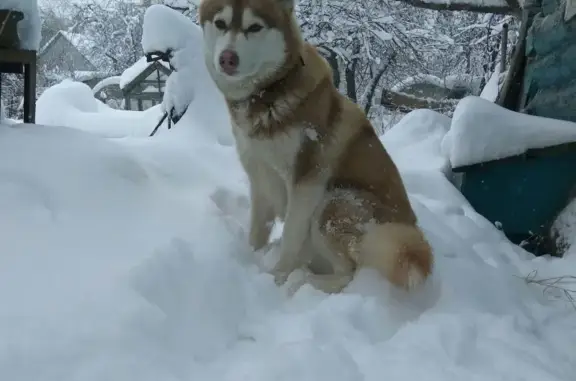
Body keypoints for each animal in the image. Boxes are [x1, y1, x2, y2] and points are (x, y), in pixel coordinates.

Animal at [197, 0, 432, 292]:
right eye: (220, 23)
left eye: (255, 27)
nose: (227, 58)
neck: (267, 95)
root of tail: (410, 231)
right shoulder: (259, 175)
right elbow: (258, 229)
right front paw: (250, 258)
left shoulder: (306, 181)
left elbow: (290, 236)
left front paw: (276, 280)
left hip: (336, 201)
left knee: (347, 273)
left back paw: (302, 281)